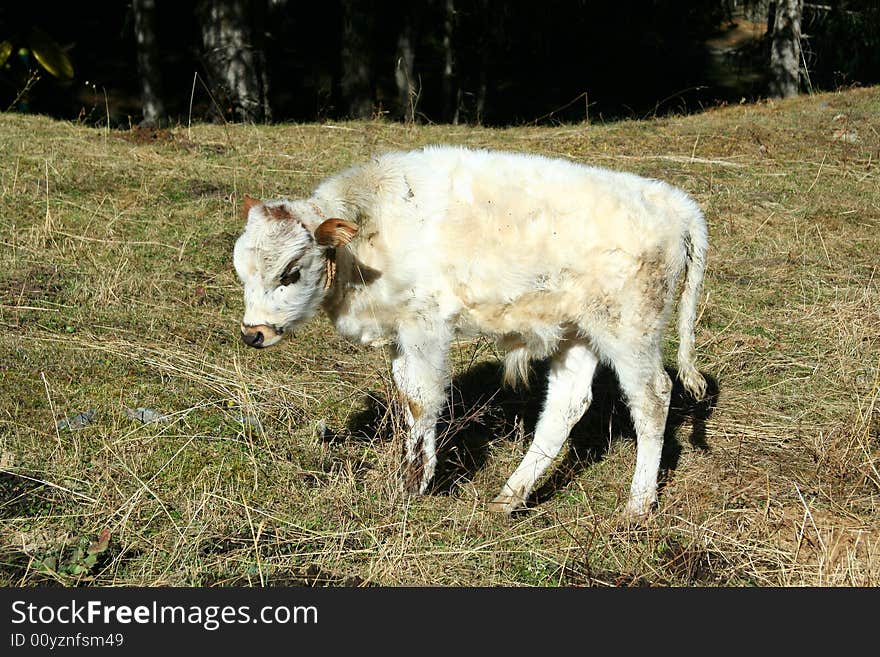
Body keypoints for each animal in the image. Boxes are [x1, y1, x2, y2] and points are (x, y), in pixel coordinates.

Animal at [232, 145, 708, 516]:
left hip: (629, 332)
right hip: (577, 332)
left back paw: (637, 505)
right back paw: (509, 498)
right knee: (567, 405)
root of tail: (673, 201)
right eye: (242, 270)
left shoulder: (426, 327)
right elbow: (407, 395)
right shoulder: (402, 334)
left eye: (291, 272)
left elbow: (423, 401)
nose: (253, 333)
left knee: (652, 398)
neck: (371, 228)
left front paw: (414, 484)